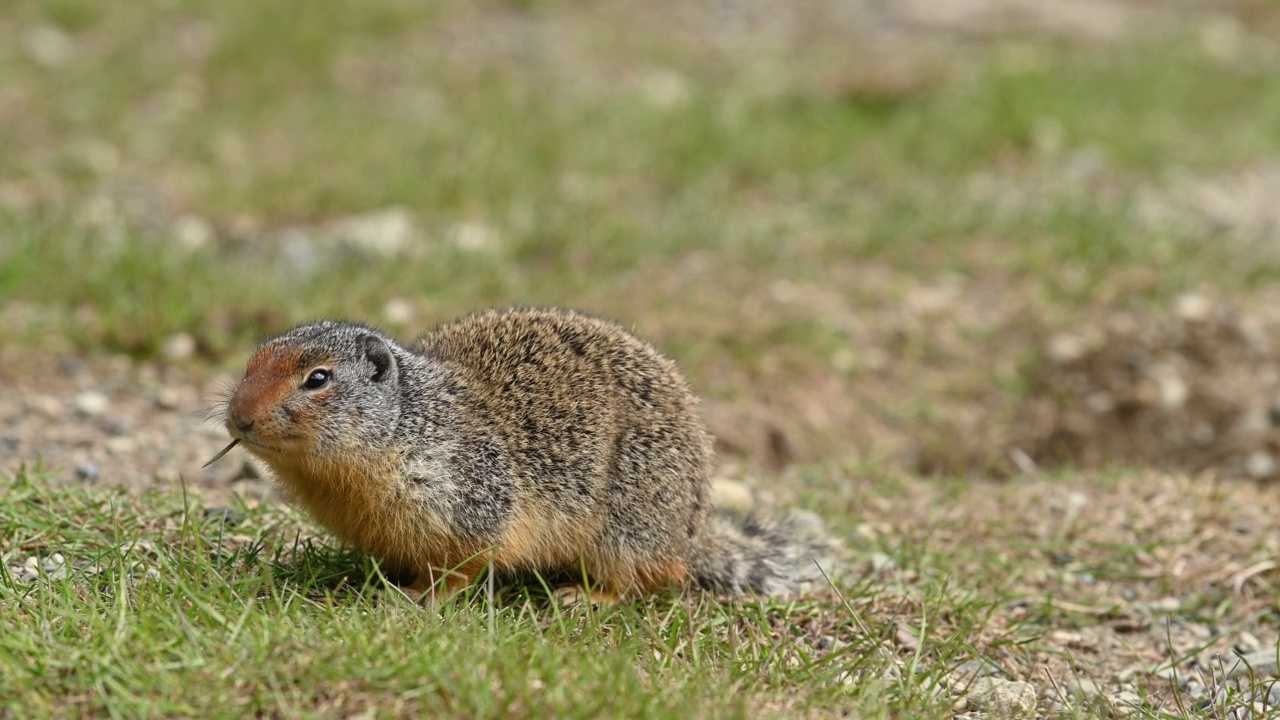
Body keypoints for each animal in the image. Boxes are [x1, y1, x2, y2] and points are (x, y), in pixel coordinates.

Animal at [220, 303, 839, 599]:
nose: (238, 417)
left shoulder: (467, 492)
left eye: (318, 379)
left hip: (629, 523)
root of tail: (691, 530)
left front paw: (418, 597)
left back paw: (583, 597)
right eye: (251, 360)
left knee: (656, 576)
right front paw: (369, 581)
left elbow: (464, 563)